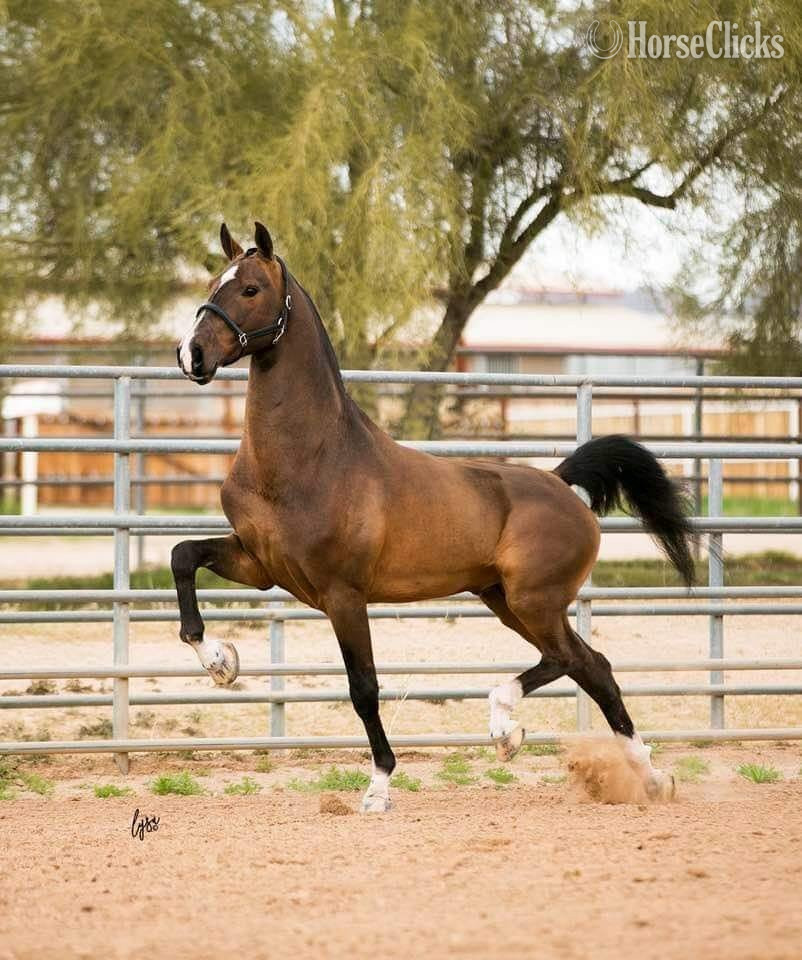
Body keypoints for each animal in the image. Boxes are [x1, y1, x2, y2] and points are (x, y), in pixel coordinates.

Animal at [173, 221, 695, 812]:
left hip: (532, 601)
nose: (190, 354)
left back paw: (507, 728)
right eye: (214, 283)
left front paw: (378, 788)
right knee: (593, 667)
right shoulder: (261, 565)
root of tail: (564, 485)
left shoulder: (343, 595)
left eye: (250, 289)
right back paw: (648, 778)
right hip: (505, 599)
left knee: (570, 660)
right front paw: (221, 661)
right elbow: (182, 557)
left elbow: (364, 689)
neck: (307, 459)